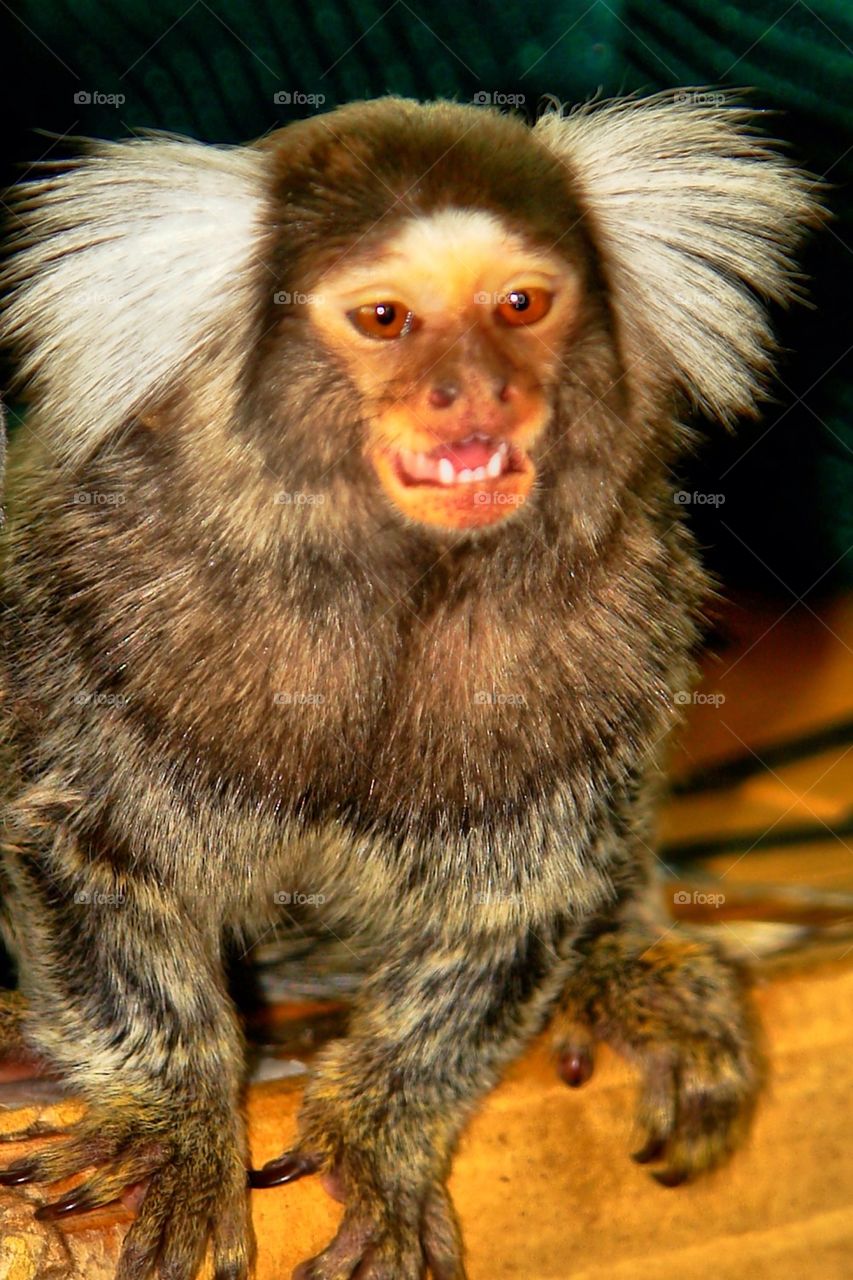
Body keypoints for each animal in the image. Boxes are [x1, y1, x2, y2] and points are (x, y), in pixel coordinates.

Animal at [0, 93, 820, 1279]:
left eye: (521, 304)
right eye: (385, 318)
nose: (475, 391)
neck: (404, 586)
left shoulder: (624, 621)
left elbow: (514, 911)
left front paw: (382, 1132)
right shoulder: (86, 608)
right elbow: (91, 861)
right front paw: (173, 1121)